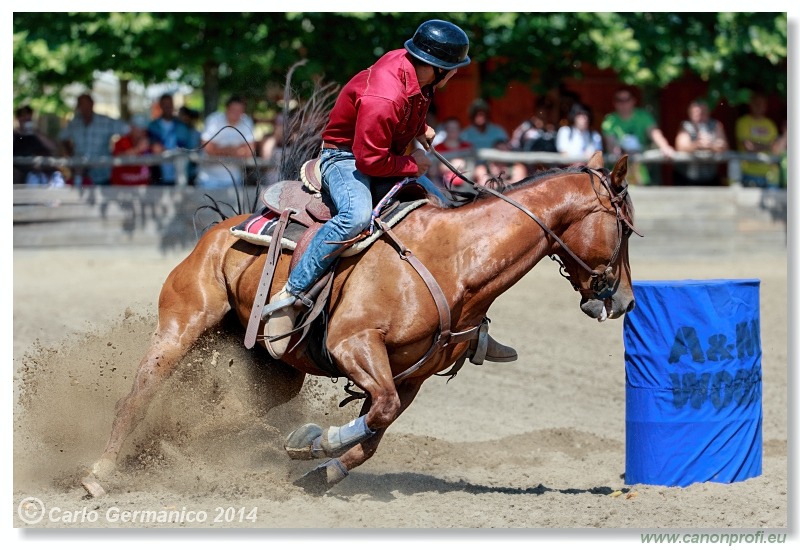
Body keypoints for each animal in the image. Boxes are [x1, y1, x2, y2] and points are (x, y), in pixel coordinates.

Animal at [79, 149, 632, 498]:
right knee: (138, 395)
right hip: (182, 324)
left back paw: (165, 449)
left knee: (225, 413)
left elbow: (376, 432)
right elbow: (376, 413)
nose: (624, 301)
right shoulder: (355, 345)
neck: (455, 261)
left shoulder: (412, 376)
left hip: (271, 369)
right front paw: (314, 443)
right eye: (625, 228)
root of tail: (222, 228)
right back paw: (99, 472)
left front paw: (318, 470)